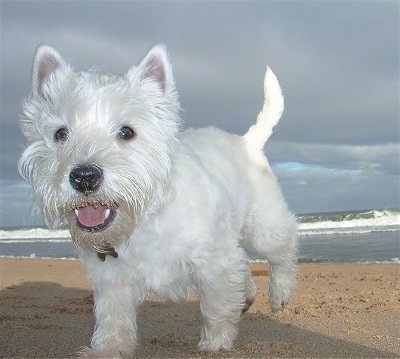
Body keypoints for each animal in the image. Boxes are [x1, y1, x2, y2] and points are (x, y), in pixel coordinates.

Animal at [19, 44, 296, 358]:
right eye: (60, 134)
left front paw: (215, 342)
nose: (84, 177)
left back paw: (280, 293)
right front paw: (107, 350)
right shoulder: (111, 279)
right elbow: (112, 318)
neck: (142, 220)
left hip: (263, 225)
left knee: (281, 250)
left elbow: (216, 306)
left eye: (126, 132)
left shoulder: (212, 261)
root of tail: (246, 141)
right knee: (243, 262)